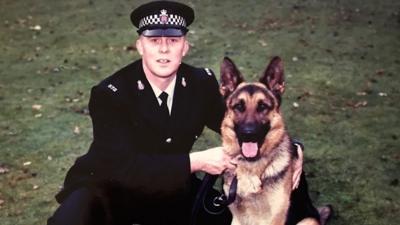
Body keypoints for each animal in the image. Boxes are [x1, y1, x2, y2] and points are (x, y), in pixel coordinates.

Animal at [219, 56, 332, 225]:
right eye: (239, 106)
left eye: (262, 107)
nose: (249, 134)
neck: (251, 167)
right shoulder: (237, 219)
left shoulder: (275, 219)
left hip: (308, 220)